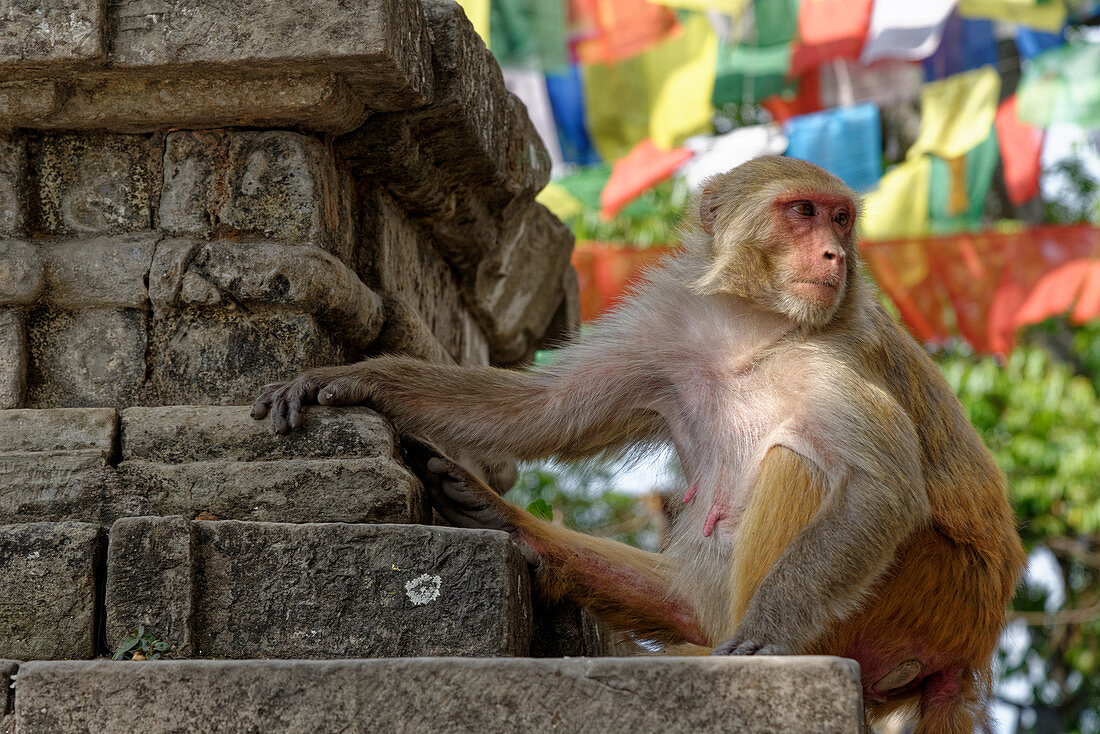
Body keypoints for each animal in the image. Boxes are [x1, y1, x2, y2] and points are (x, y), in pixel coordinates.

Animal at [253, 158, 1025, 730]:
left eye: (841, 218)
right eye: (802, 212)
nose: (835, 253)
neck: (754, 325)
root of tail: (973, 649)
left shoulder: (836, 359)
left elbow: (879, 488)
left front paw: (768, 635)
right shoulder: (666, 331)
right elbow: (542, 414)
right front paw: (361, 380)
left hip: (936, 592)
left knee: (799, 461)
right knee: (689, 591)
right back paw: (504, 521)